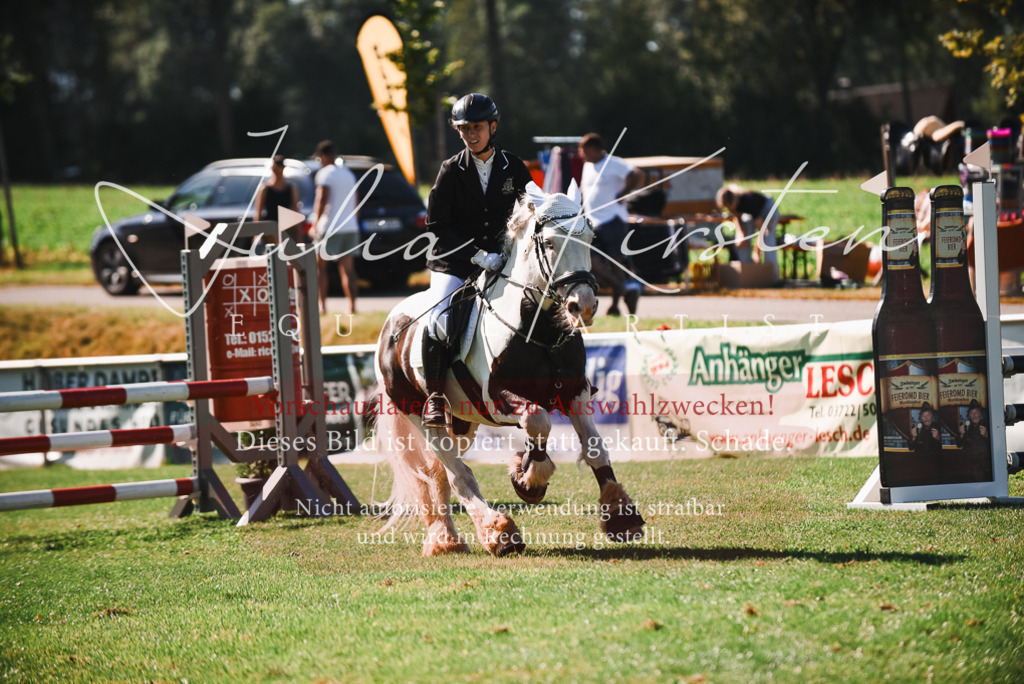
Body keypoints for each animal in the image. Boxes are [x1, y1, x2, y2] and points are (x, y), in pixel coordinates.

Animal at [373, 184, 645, 556]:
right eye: (550, 244)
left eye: (590, 238)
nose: (584, 306)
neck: (539, 328)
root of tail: (390, 321)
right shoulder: (497, 398)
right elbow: (537, 419)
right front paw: (529, 480)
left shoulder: (574, 393)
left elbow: (593, 448)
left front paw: (620, 516)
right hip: (421, 414)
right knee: (457, 474)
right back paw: (498, 534)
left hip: (462, 422)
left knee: (440, 472)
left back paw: (447, 538)